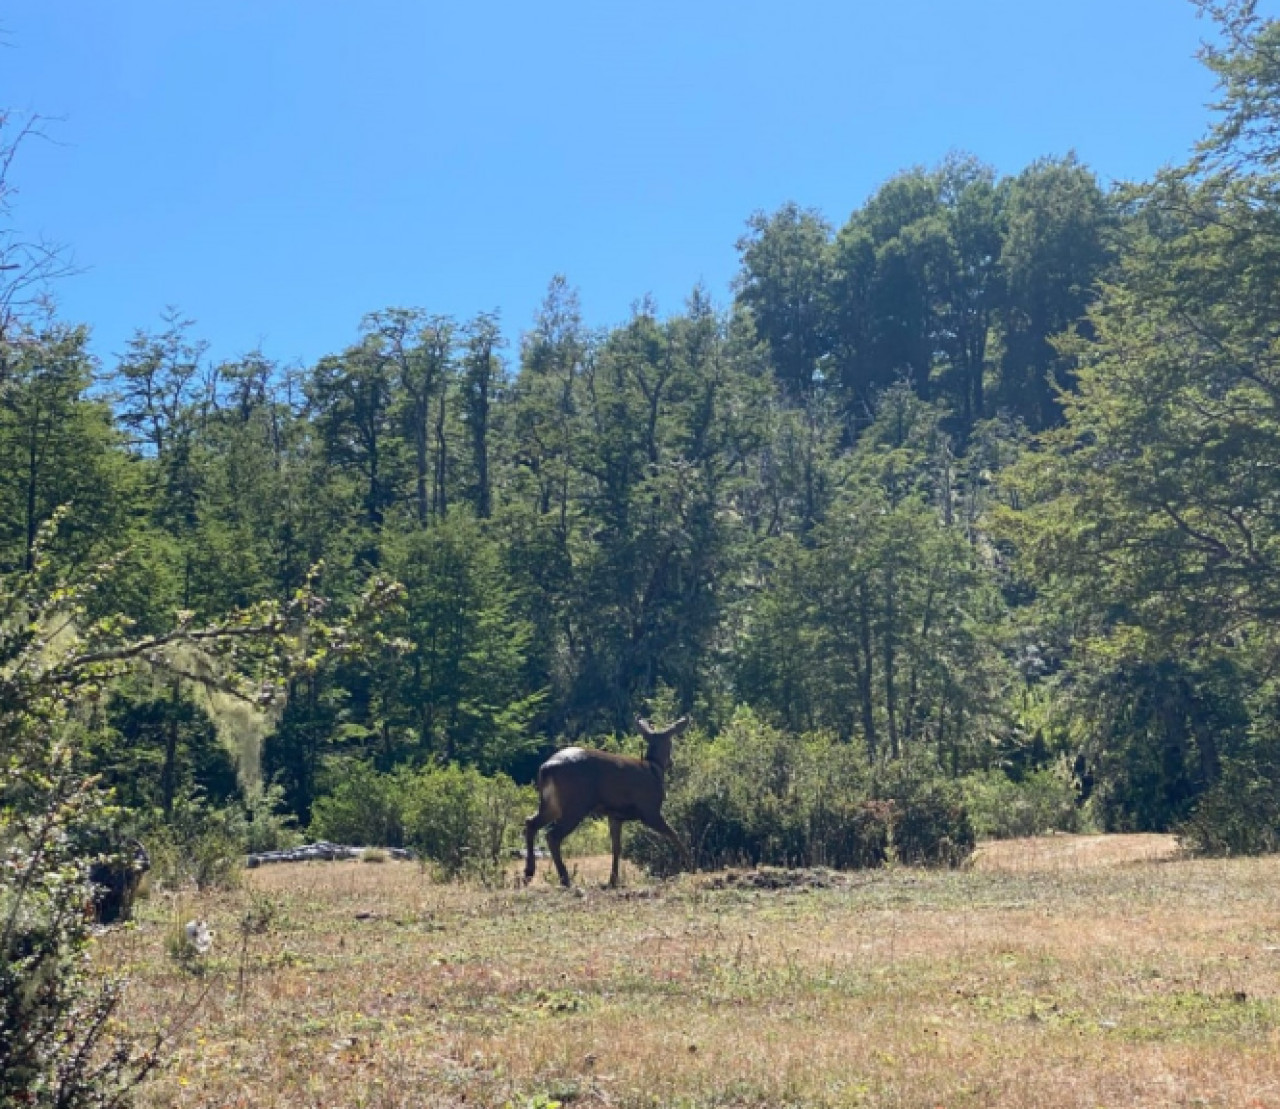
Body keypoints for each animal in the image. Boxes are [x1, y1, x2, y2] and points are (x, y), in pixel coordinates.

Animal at [524, 712, 696, 886]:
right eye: (671, 742)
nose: (671, 762)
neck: (654, 768)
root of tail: (546, 768)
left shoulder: (615, 815)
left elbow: (616, 846)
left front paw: (613, 880)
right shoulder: (649, 810)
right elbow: (673, 833)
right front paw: (691, 866)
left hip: (552, 804)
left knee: (530, 822)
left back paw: (528, 873)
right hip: (576, 804)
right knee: (552, 835)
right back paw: (565, 879)